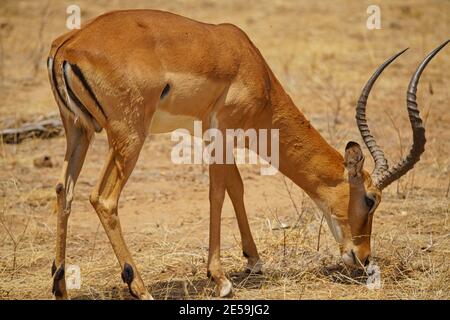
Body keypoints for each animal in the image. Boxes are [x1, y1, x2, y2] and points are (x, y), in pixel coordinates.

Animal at [47, 10, 448, 300]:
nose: (362, 258)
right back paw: (139, 288)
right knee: (103, 198)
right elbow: (217, 193)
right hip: (129, 136)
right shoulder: (221, 131)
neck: (252, 66)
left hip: (78, 131)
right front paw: (221, 280)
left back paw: (61, 285)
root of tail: (68, 45)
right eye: (370, 199)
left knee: (63, 190)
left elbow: (235, 187)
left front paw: (253, 261)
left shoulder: (212, 134)